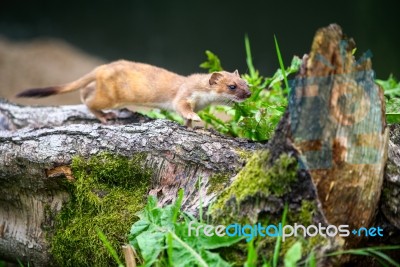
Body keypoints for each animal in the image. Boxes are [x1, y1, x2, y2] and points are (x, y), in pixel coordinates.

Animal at [18, 59, 252, 125]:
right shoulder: (184, 94)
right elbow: (182, 107)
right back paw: (105, 116)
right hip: (109, 96)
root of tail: (101, 68)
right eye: (232, 86)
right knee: (89, 100)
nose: (249, 94)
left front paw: (193, 125)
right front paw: (193, 117)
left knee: (85, 92)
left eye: (245, 82)